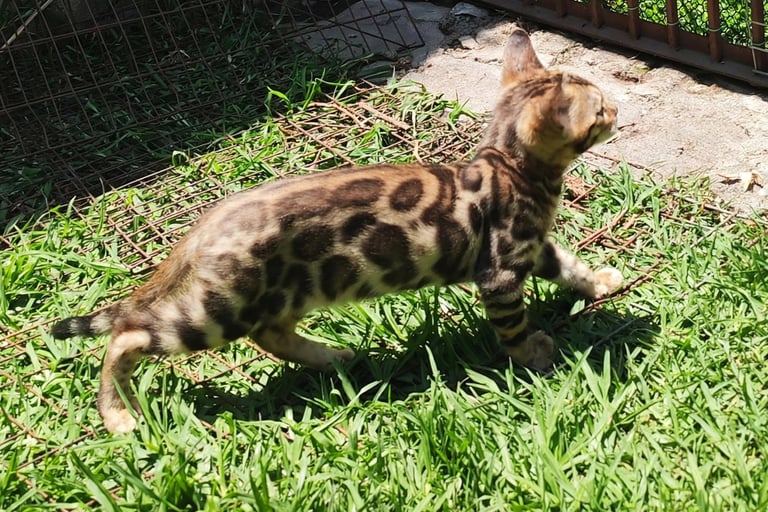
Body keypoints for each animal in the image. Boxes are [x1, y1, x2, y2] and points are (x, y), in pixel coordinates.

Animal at [52, 28, 622, 434]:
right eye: (598, 110)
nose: (617, 109)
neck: (509, 165)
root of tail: (204, 225)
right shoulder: (501, 271)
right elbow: (512, 330)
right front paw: (534, 357)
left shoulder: (532, 247)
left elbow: (568, 264)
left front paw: (599, 282)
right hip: (220, 310)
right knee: (128, 336)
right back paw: (117, 416)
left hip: (291, 290)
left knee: (272, 334)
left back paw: (333, 357)